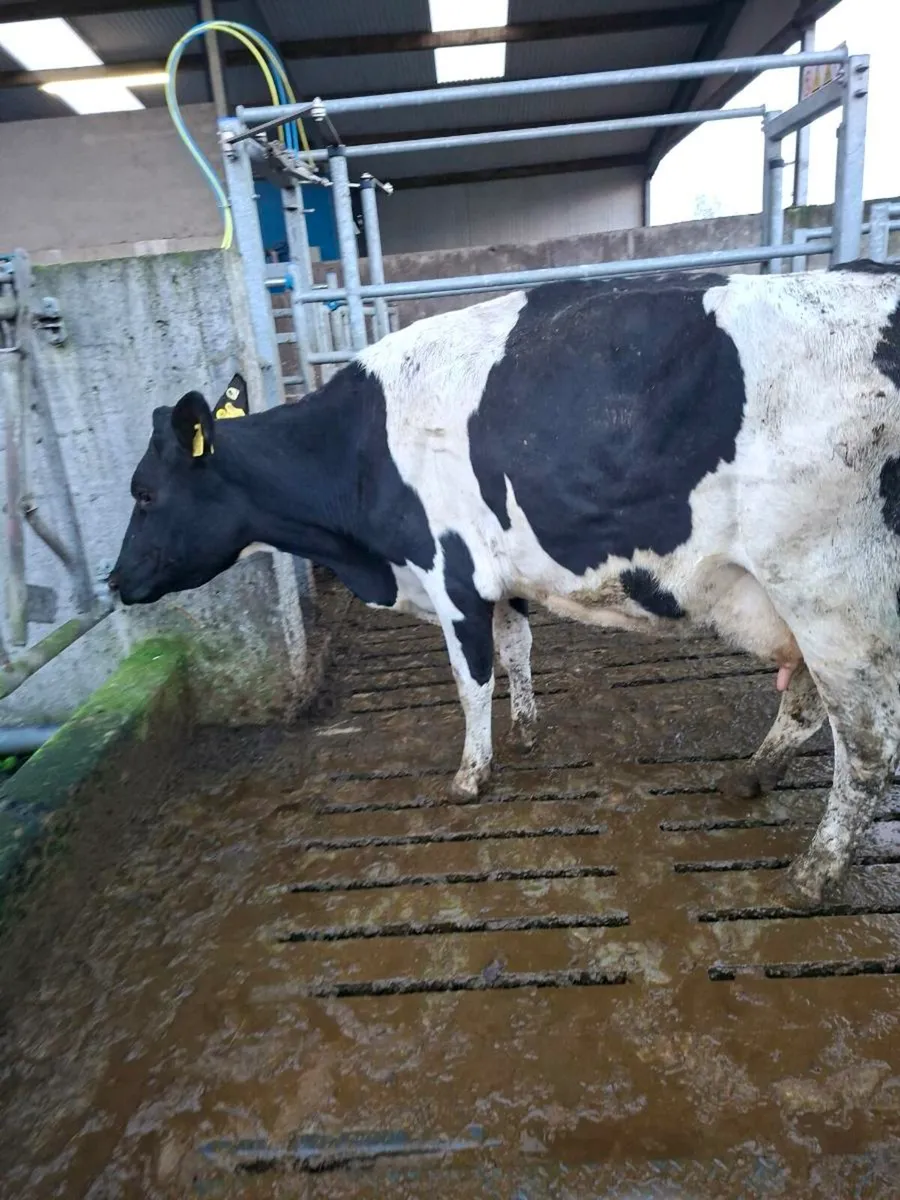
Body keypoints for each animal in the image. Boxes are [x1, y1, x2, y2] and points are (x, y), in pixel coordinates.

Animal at [109, 262, 900, 905]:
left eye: (144, 493)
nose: (114, 580)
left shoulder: (448, 572)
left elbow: (471, 678)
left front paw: (471, 775)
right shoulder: (501, 576)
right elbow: (517, 645)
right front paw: (524, 730)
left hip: (831, 590)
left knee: (866, 744)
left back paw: (814, 874)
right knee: (808, 703)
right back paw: (752, 776)